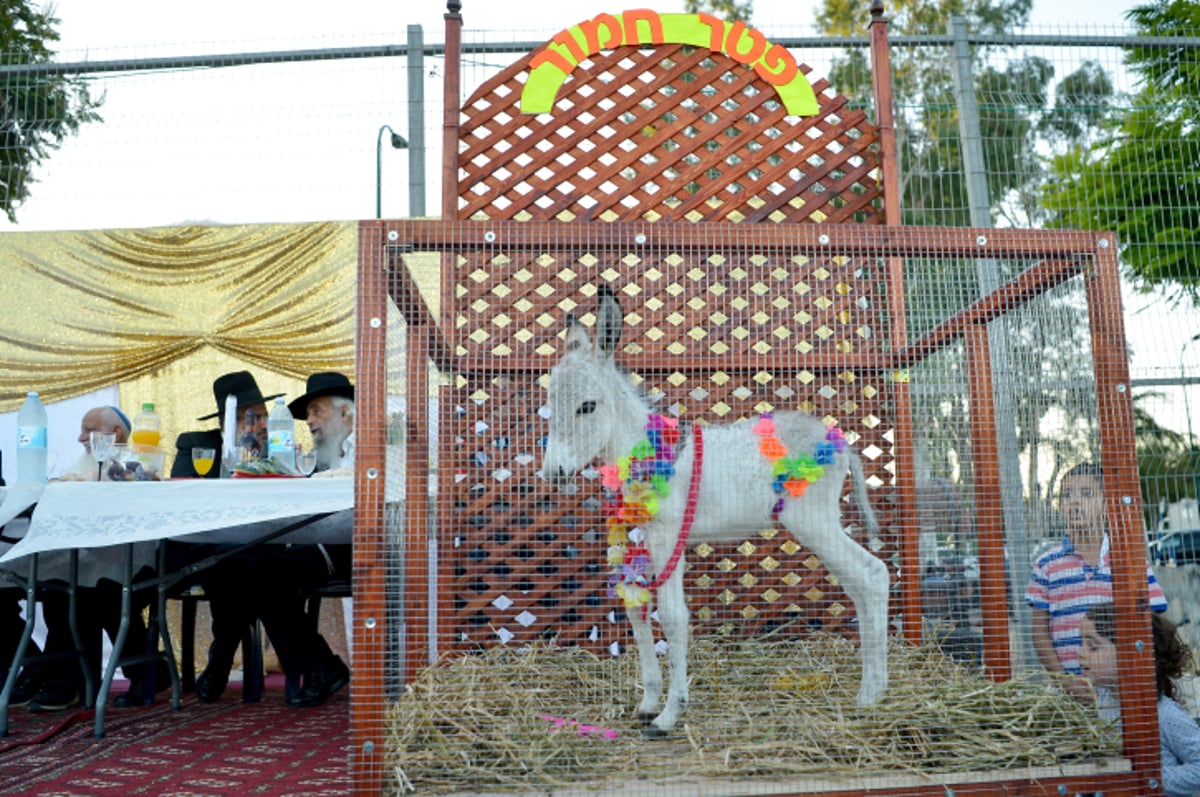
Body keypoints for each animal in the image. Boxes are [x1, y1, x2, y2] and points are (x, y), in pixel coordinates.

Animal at [540, 284, 888, 734]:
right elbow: (636, 610)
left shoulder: (669, 535)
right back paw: (873, 688)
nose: (553, 473)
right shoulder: (641, 535)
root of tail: (839, 440)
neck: (645, 449)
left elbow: (673, 616)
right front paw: (648, 702)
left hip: (813, 522)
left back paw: (871, 695)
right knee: (859, 583)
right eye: (550, 405)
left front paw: (669, 714)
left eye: (587, 406)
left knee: (872, 575)